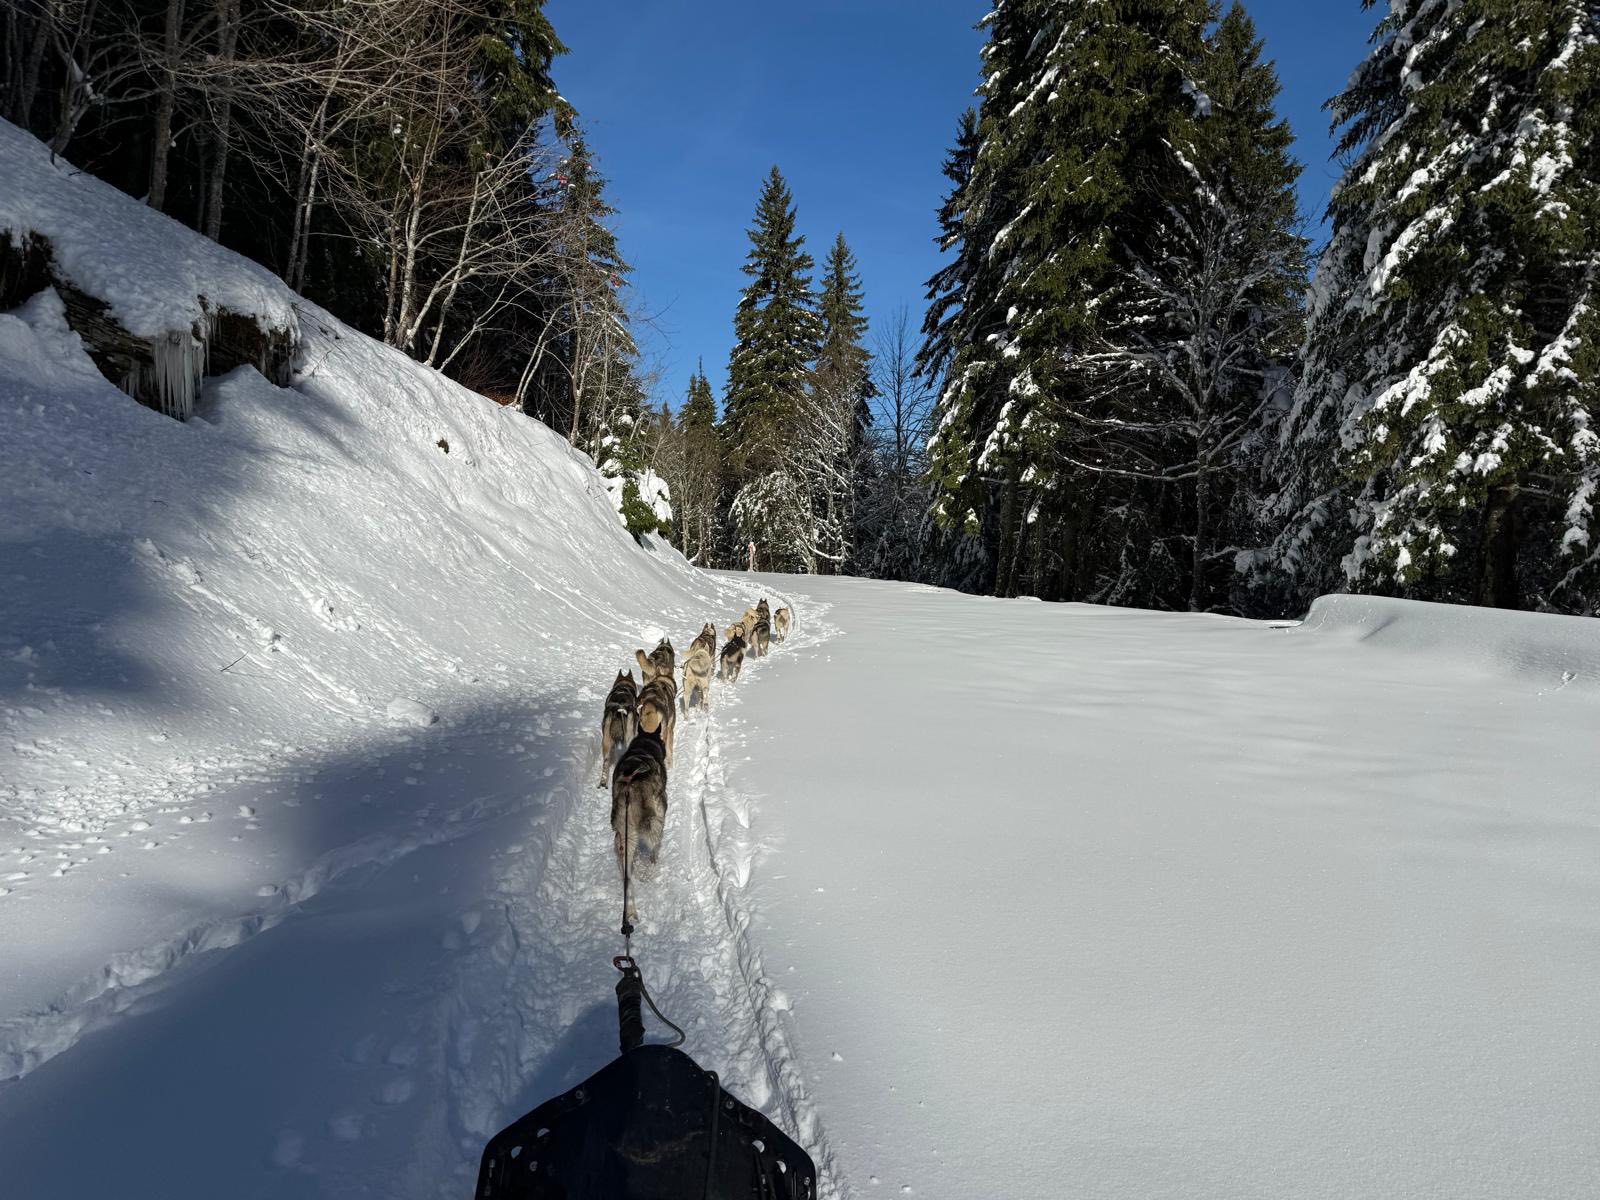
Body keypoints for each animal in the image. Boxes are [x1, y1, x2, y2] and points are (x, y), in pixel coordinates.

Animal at [611, 725, 667, 924]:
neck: (644, 747)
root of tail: (631, 788)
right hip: (655, 823)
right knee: (654, 850)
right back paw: (651, 871)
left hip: (623, 838)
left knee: (627, 881)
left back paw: (630, 911)